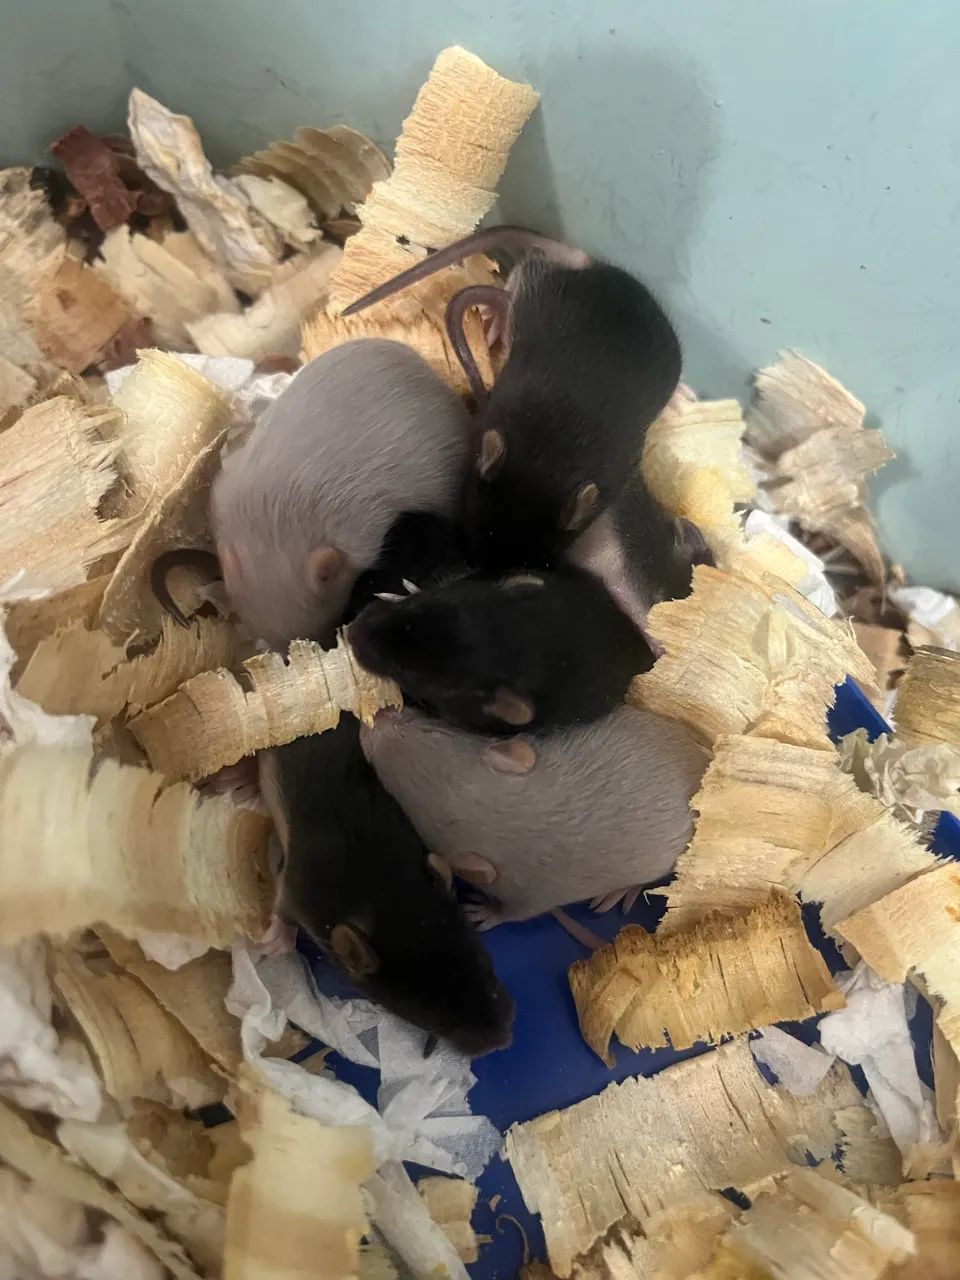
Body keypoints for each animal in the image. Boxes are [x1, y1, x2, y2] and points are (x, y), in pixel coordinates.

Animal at [257, 715, 514, 1056]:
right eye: (429, 1014)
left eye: (484, 964)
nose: (504, 1041)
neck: (382, 886)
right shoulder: (301, 889)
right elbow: (283, 908)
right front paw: (278, 939)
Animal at [359, 705, 708, 924]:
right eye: (431, 728)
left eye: (393, 791)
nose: (370, 719)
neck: (517, 817)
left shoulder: (531, 894)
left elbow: (517, 914)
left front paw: (486, 913)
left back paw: (620, 892)